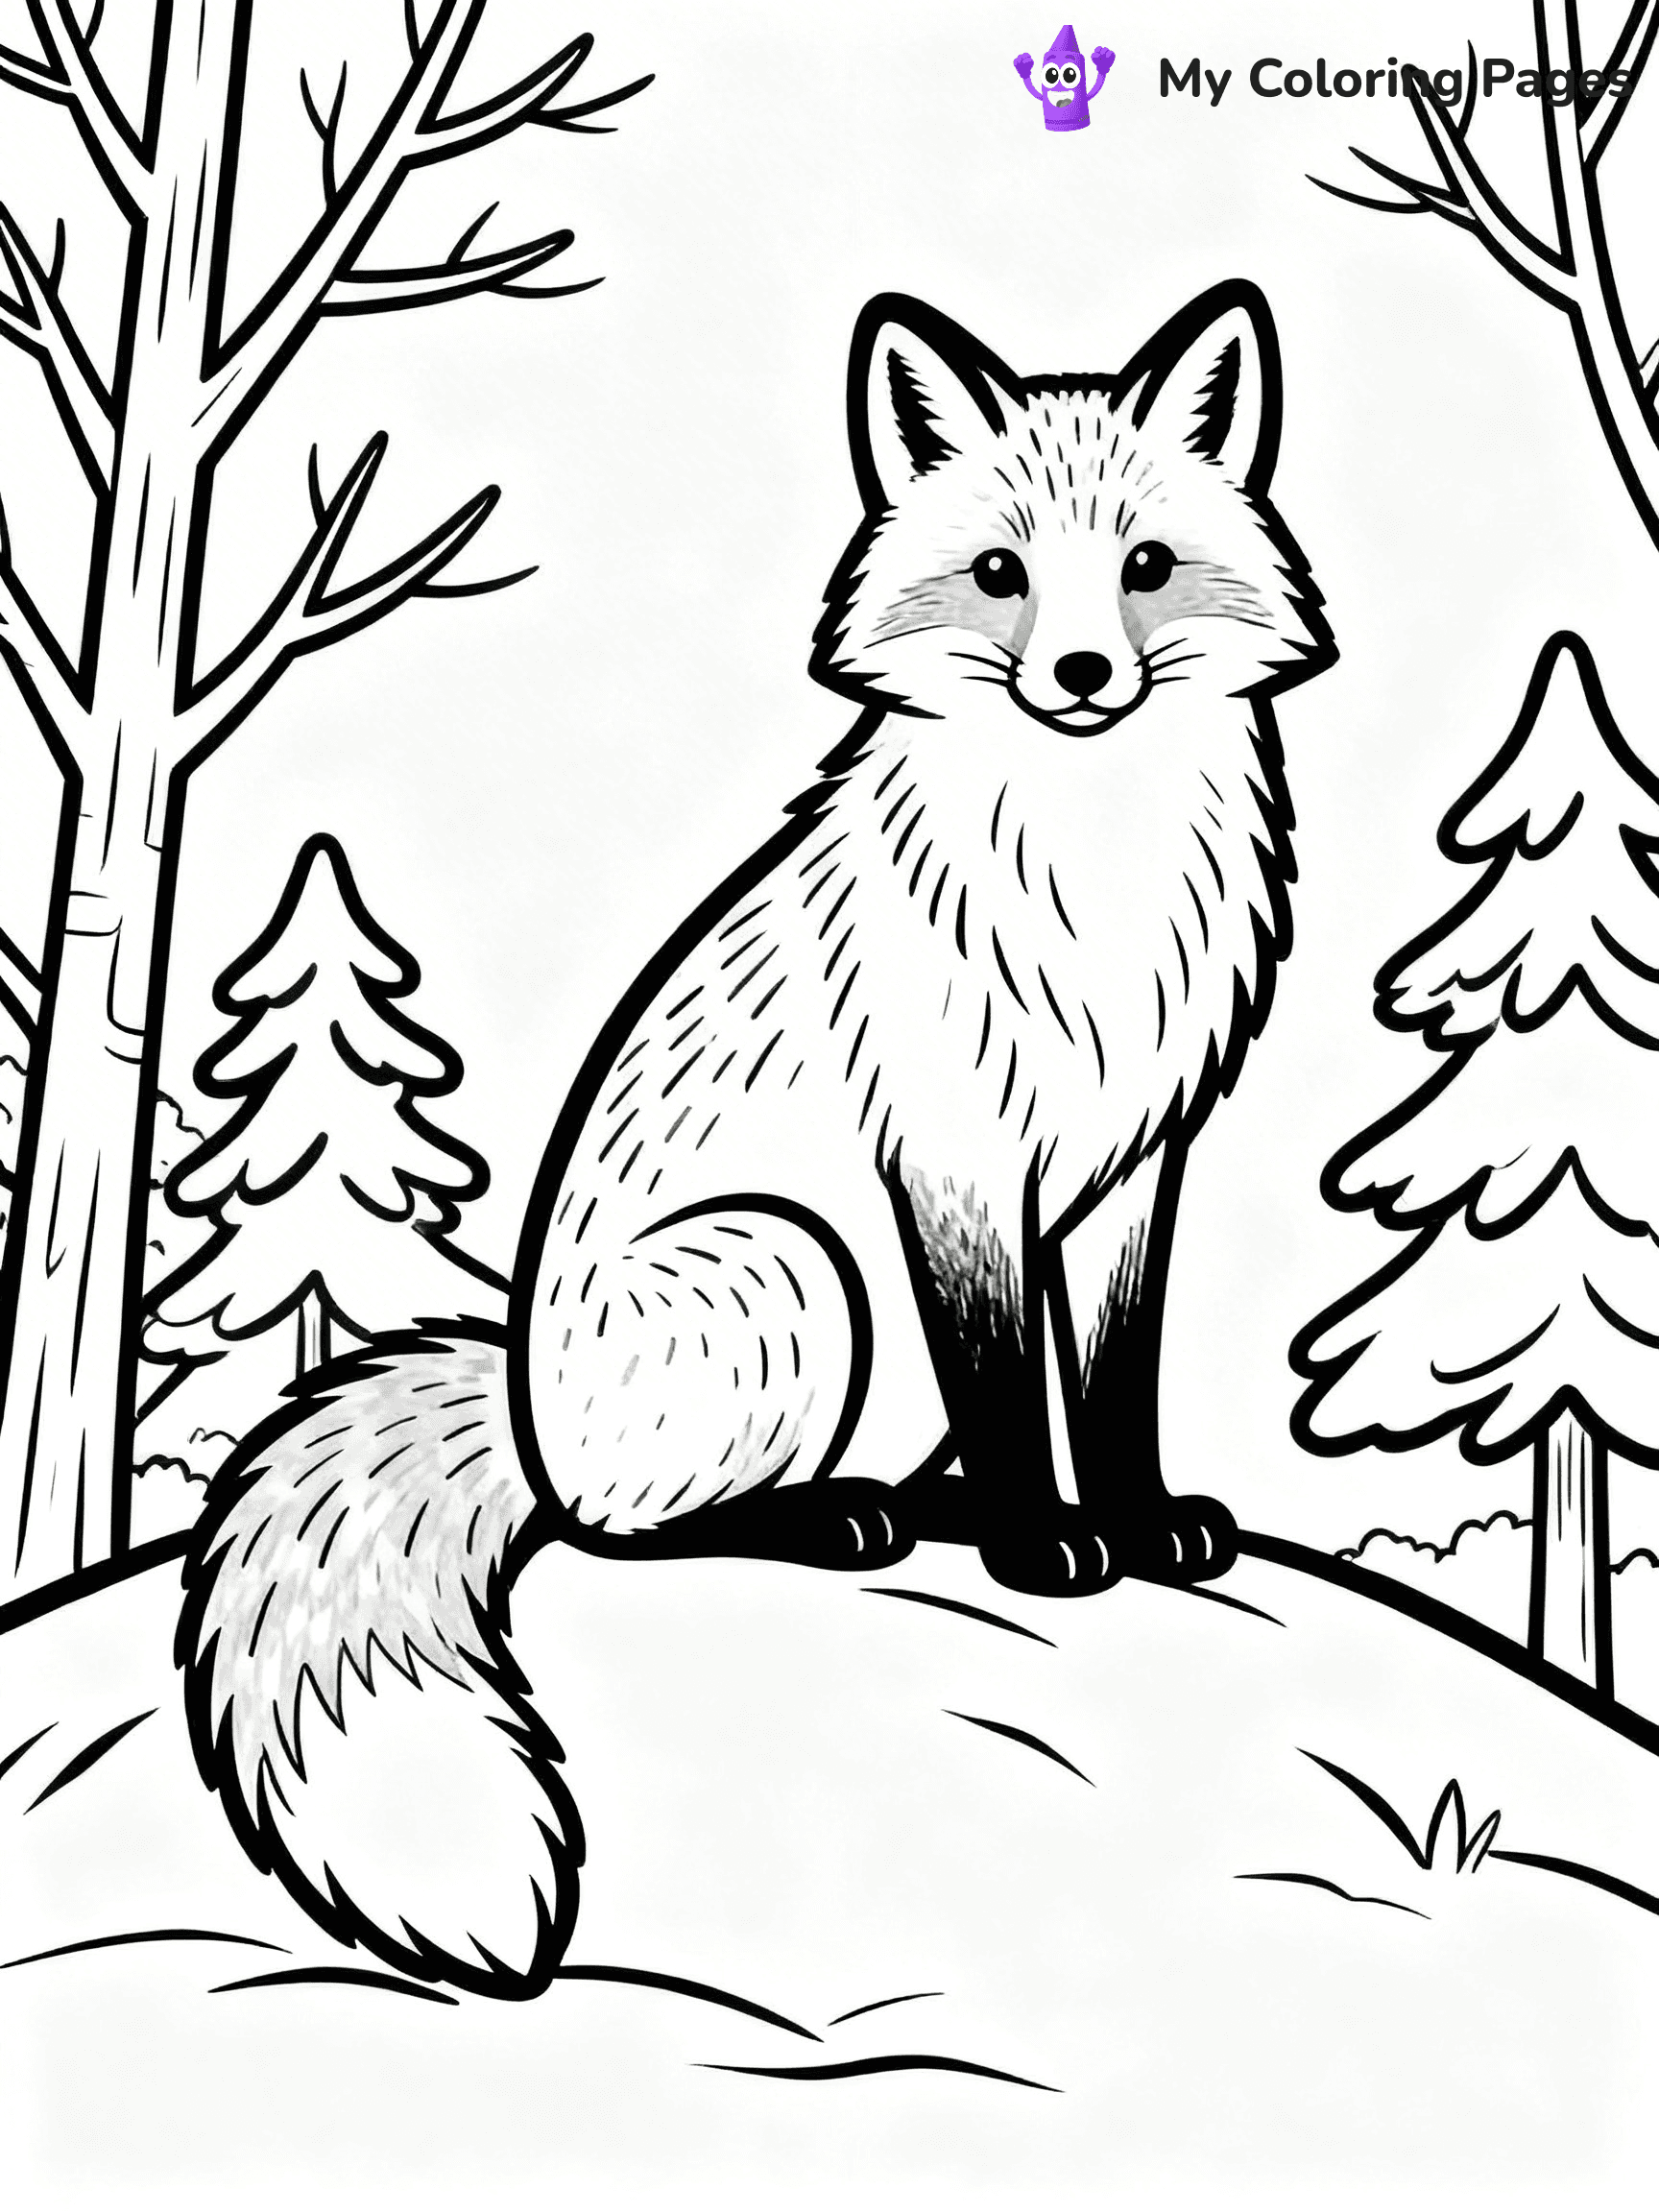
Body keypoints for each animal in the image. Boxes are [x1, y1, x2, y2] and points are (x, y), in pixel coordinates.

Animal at [179, 282, 1335, 1998]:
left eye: (1143, 567)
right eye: (1001, 574)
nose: (1079, 676)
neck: (1089, 874)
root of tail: (522, 1400)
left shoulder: (1134, 1166)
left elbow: (1112, 1377)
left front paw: (1134, 1522)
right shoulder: (957, 1167)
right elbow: (1011, 1388)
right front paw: (1042, 1546)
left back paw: (916, 1510)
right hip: (798, 1270)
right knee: (632, 1533)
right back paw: (836, 1520)